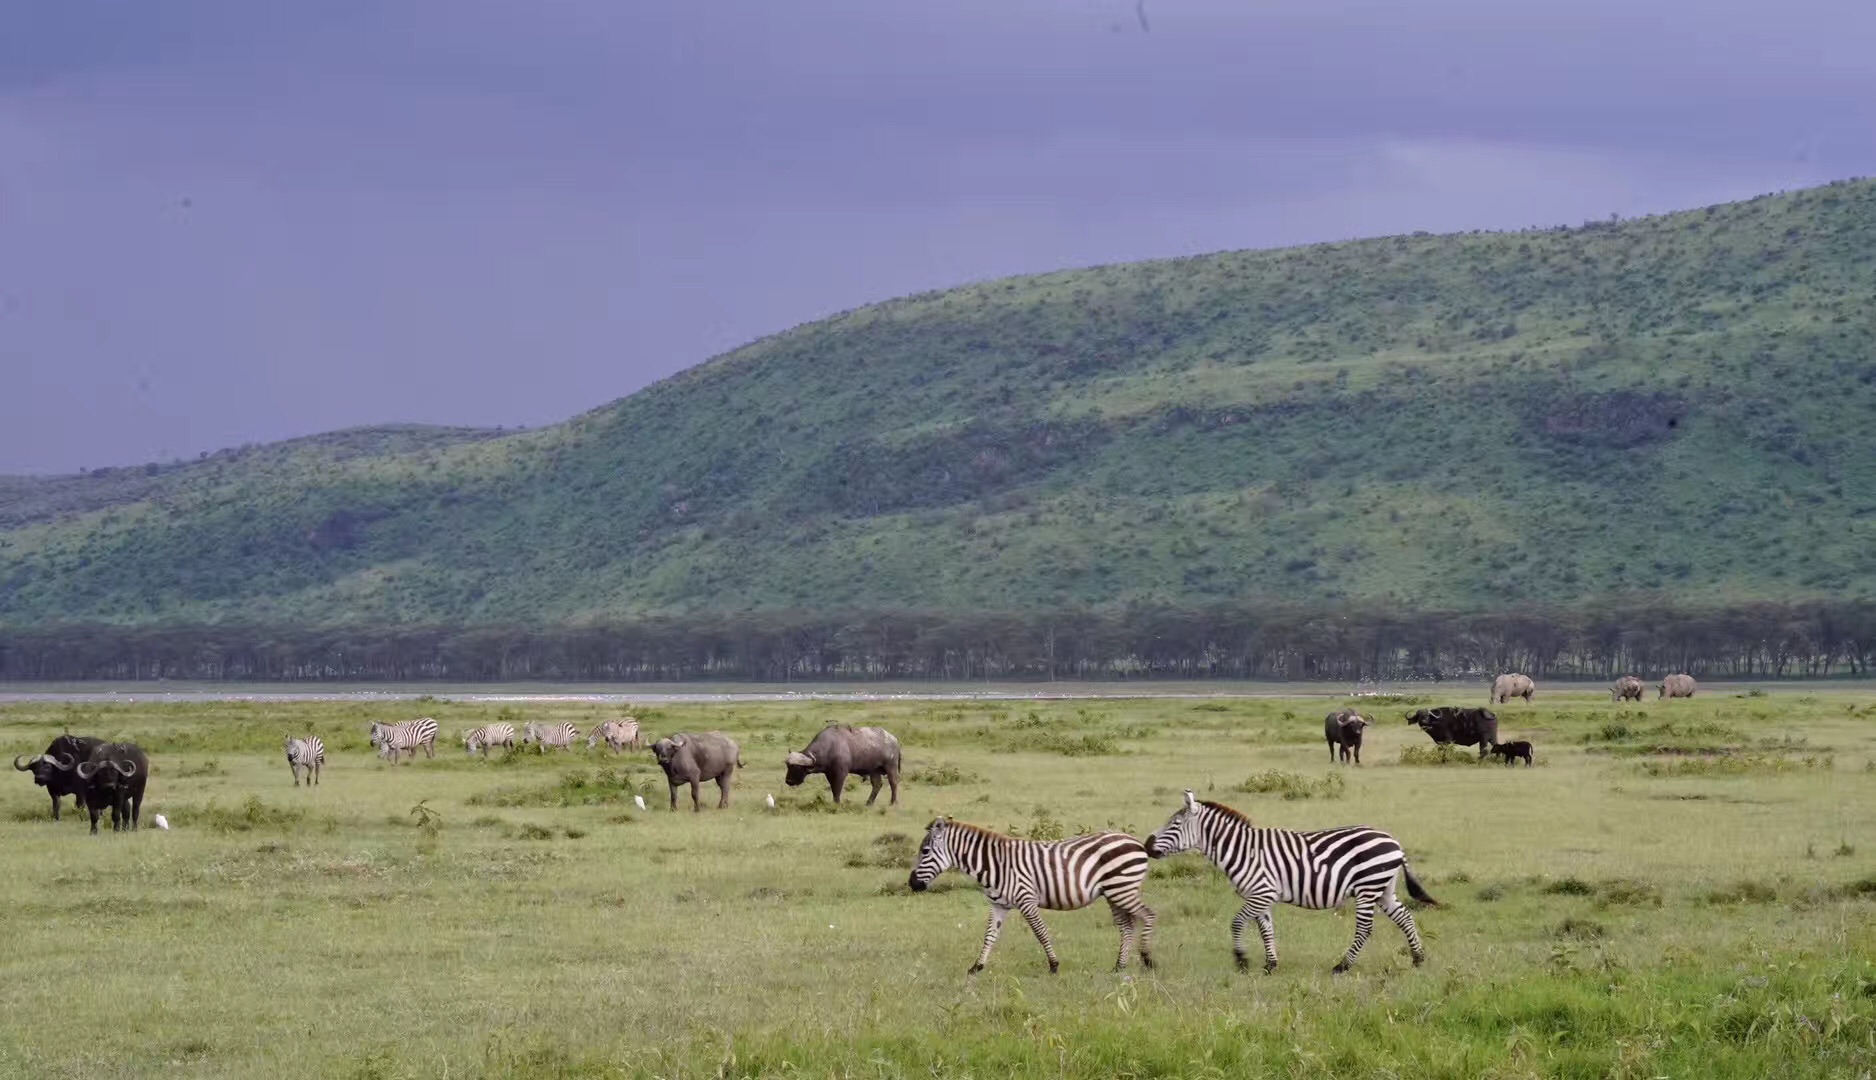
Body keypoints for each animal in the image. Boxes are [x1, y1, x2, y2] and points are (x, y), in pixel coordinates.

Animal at [904, 813, 1148, 975]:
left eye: (925, 851)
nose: (912, 883)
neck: (995, 864)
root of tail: (1135, 842)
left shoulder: (1026, 899)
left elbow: (1041, 932)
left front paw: (1054, 965)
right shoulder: (998, 905)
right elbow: (990, 936)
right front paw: (977, 966)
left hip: (1122, 889)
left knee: (1147, 915)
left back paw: (1147, 959)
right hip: (1114, 893)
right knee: (1127, 926)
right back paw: (1119, 966)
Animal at [1140, 787, 1433, 975]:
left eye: (1175, 824)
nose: (1147, 846)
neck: (1241, 849)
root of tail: (1394, 842)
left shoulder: (1261, 892)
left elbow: (1236, 922)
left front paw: (1241, 960)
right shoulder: (1260, 896)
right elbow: (1266, 930)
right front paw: (1270, 965)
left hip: (1368, 887)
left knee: (1364, 929)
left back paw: (1342, 966)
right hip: (1383, 888)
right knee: (1405, 917)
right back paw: (1418, 959)